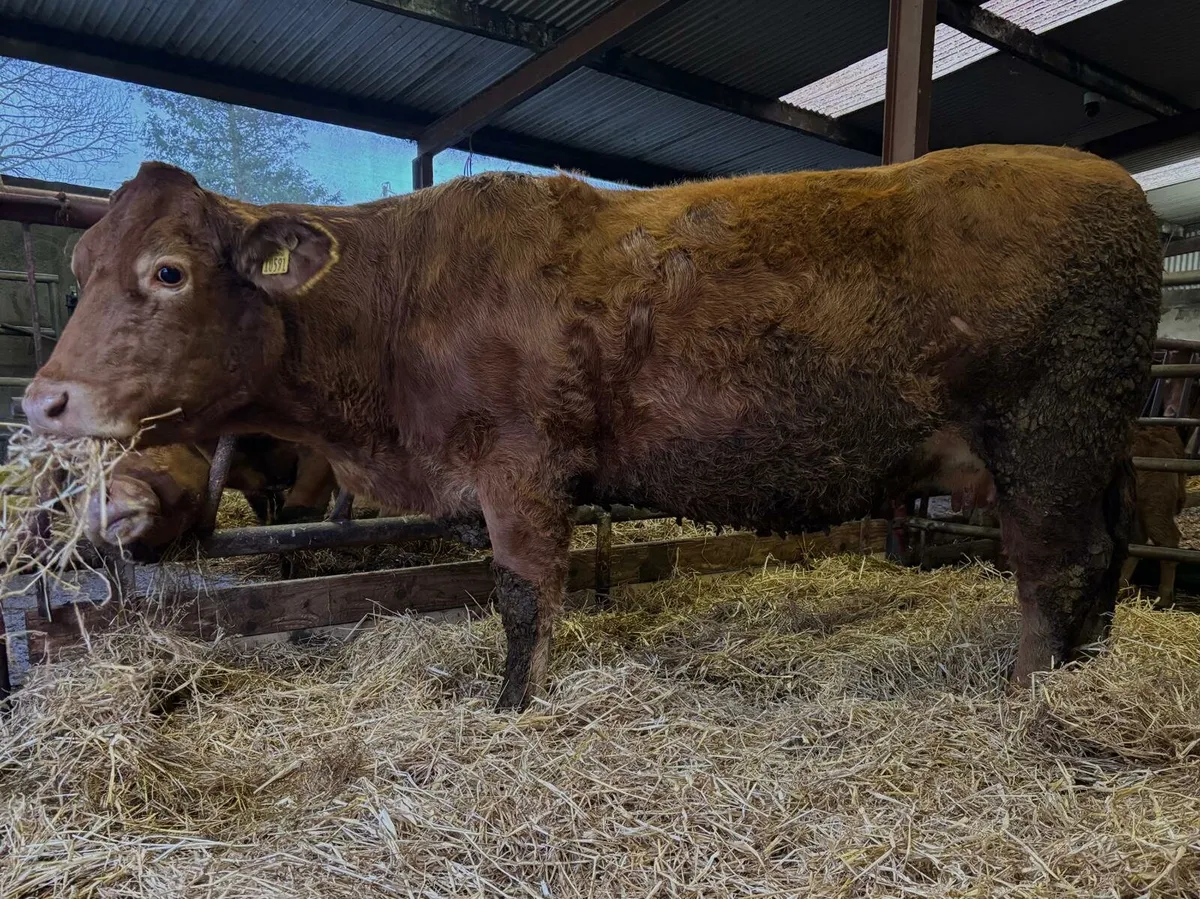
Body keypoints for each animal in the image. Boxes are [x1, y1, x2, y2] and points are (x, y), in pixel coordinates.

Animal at [22, 145, 1161, 708]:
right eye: (78, 266)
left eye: (168, 270)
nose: (41, 398)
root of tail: (1109, 180)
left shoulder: (520, 465)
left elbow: (524, 599)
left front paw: (513, 707)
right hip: (1097, 443)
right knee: (1107, 552)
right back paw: (1090, 669)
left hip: (1044, 438)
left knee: (1050, 567)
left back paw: (1027, 691)